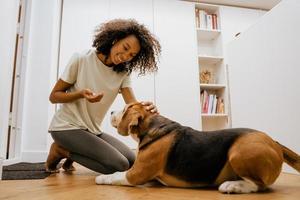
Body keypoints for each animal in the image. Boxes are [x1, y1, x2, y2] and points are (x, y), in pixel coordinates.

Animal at [96, 102, 300, 193]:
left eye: (125, 109)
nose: (111, 111)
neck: (152, 125)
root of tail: (275, 142)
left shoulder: (136, 174)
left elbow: (116, 176)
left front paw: (101, 178)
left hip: (238, 151)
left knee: (258, 185)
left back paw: (233, 185)